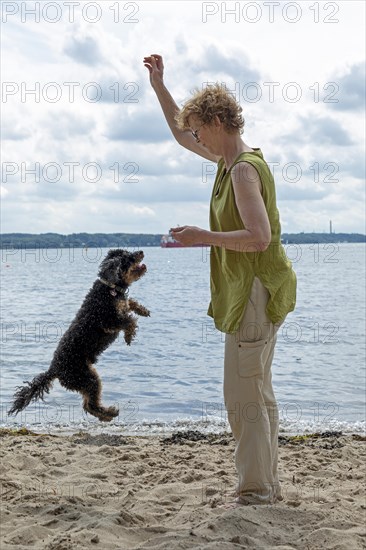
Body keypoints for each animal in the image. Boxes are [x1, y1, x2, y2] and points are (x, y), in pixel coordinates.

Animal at [8, 249, 149, 422]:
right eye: (128, 258)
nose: (141, 251)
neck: (110, 289)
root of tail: (54, 370)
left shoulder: (119, 310)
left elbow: (130, 304)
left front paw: (143, 310)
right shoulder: (108, 319)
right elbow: (129, 320)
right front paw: (129, 336)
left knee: (87, 405)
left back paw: (106, 415)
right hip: (88, 379)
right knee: (90, 405)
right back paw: (110, 413)